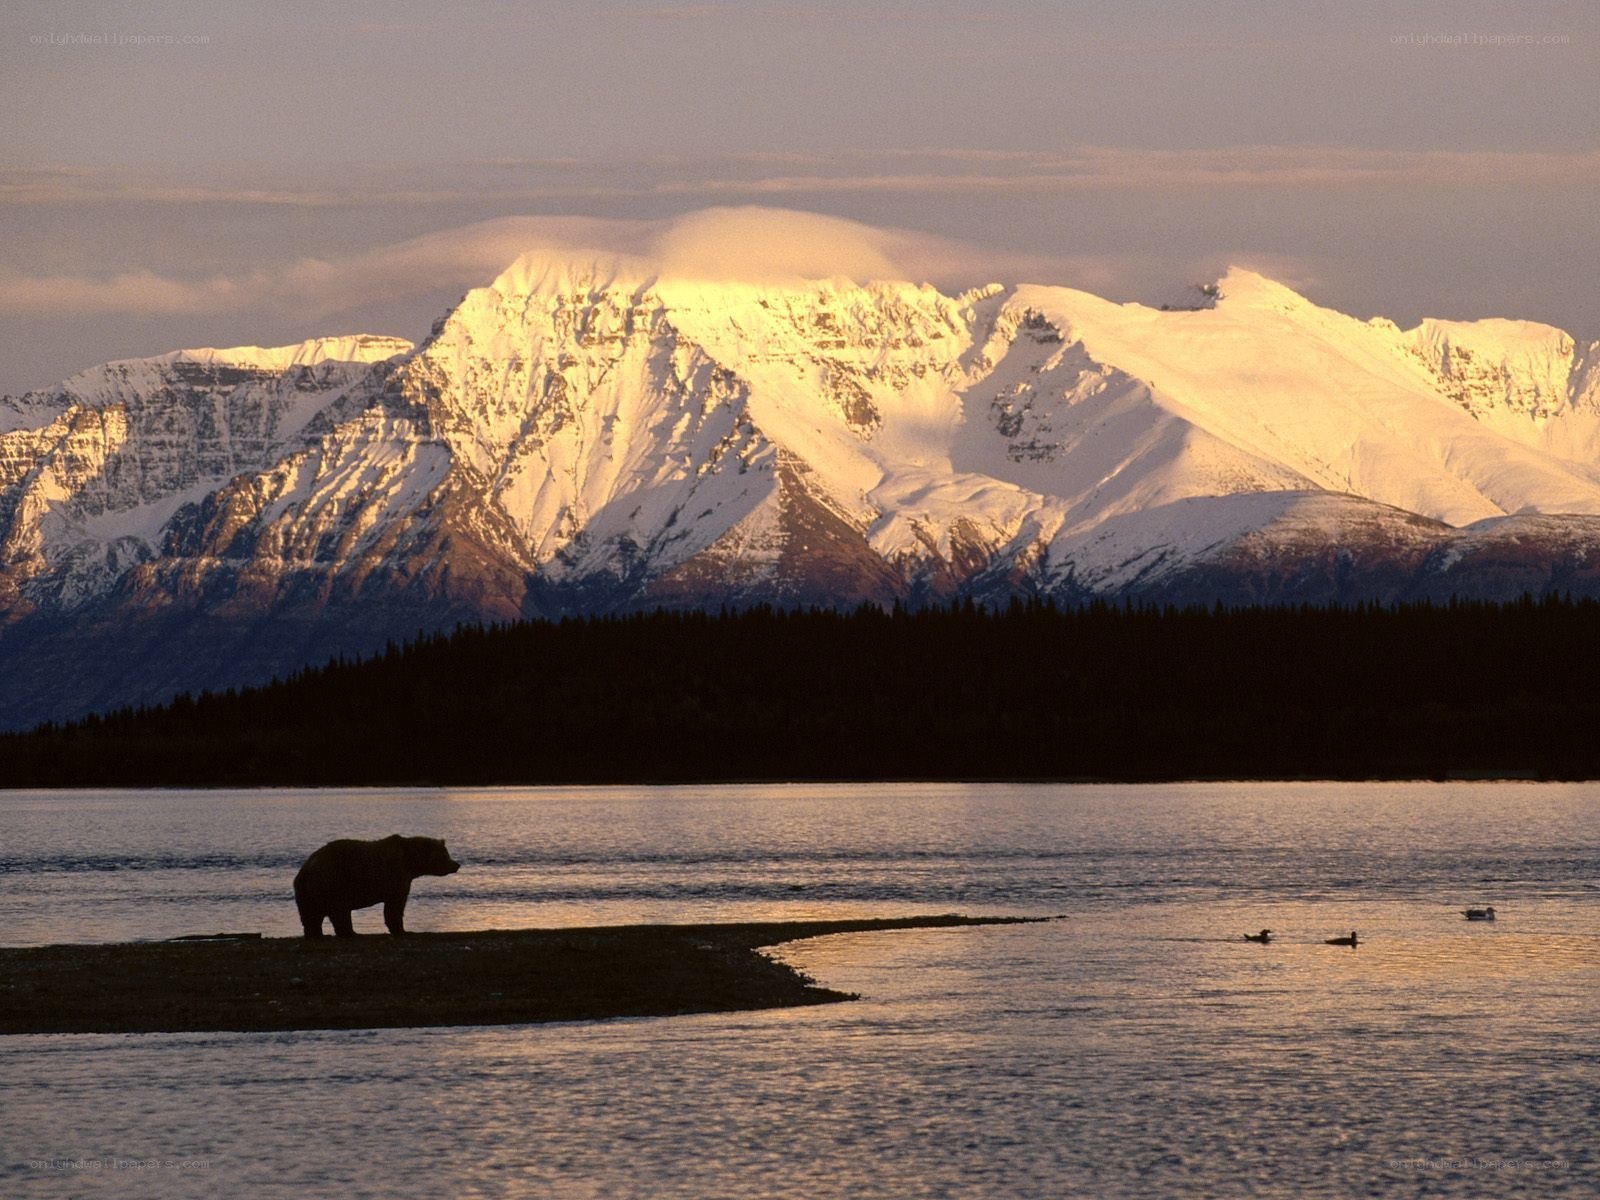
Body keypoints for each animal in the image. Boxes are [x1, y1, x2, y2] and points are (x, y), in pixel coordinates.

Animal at [293, 835, 460, 938]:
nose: (456, 864)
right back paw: (350, 933)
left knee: (311, 914)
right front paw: (403, 930)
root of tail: (306, 868)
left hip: (308, 891)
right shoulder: (396, 875)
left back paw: (317, 934)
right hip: (334, 881)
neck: (411, 862)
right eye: (446, 855)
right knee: (339, 911)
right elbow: (395, 905)